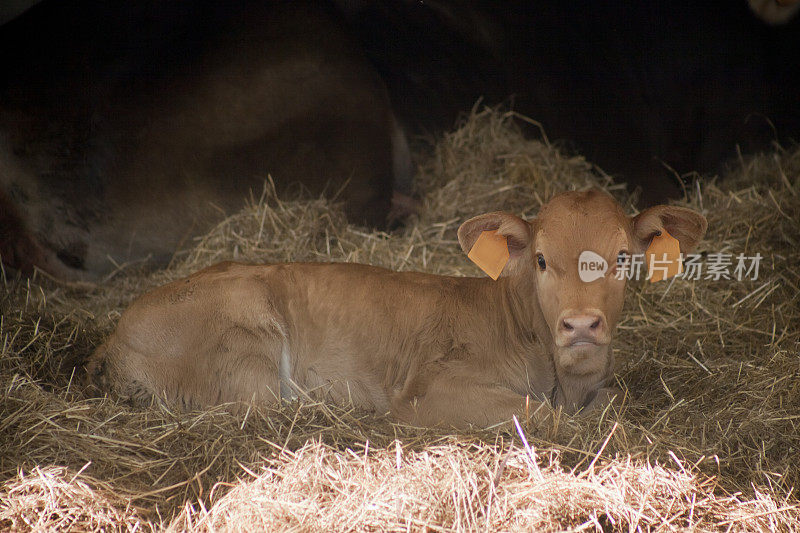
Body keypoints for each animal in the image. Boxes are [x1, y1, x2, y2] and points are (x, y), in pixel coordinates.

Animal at [87, 191, 708, 428]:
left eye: (622, 256)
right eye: (540, 260)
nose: (580, 324)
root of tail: (113, 335)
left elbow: (613, 404)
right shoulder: (428, 393)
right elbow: (540, 415)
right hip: (247, 352)